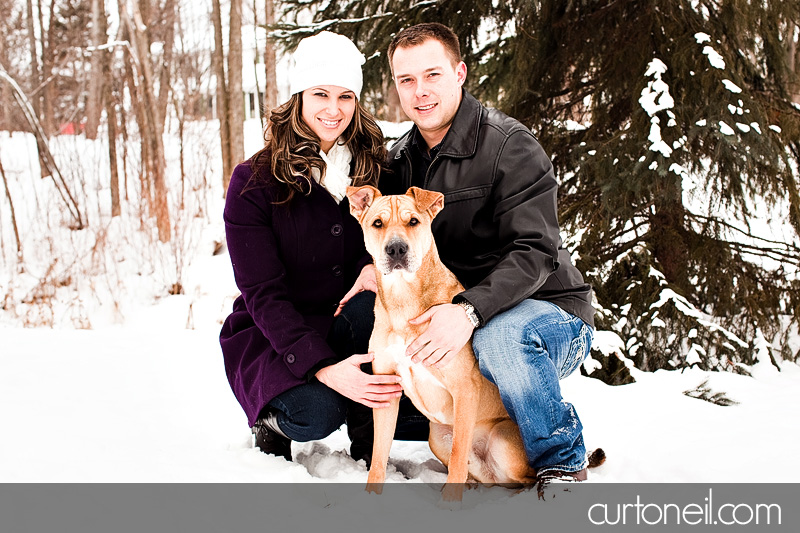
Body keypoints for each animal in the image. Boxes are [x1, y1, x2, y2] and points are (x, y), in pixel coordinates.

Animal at [346, 184, 536, 502]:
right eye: (377, 223)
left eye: (413, 221)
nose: (396, 249)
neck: (404, 299)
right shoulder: (386, 385)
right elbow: (379, 455)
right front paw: (371, 496)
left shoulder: (464, 388)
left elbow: (459, 454)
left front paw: (450, 503)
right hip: (437, 437)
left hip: (503, 441)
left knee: (524, 476)